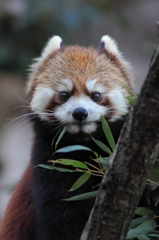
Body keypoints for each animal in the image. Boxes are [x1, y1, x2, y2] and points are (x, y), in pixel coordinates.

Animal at [0, 35, 134, 240]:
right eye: (64, 94)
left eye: (95, 95)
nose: (80, 113)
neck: (84, 147)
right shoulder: (51, 164)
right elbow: (62, 217)